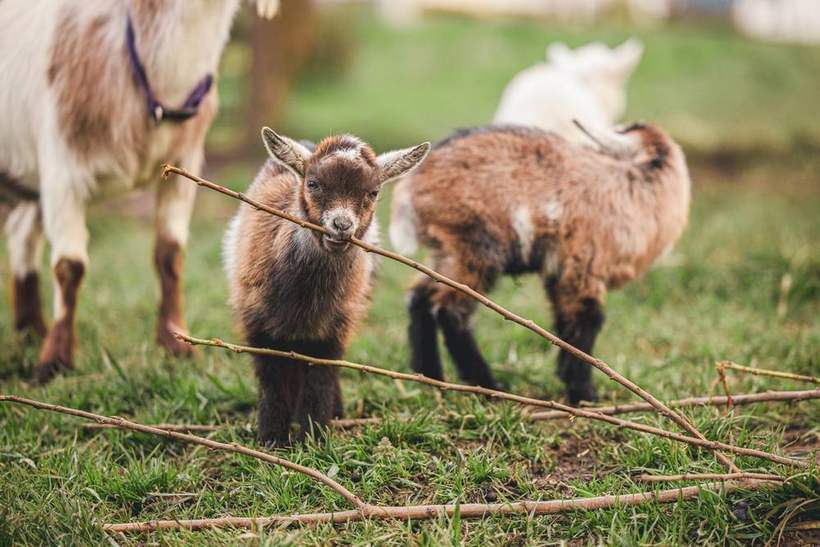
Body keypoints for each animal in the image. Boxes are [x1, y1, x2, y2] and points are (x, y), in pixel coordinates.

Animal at [0, 0, 278, 383]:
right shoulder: (61, 168)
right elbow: (69, 267)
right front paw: (55, 361)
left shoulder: (183, 165)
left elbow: (169, 253)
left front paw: (176, 343)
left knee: (23, 234)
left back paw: (30, 331)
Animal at [224, 128, 429, 444]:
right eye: (313, 183)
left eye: (373, 192)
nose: (341, 225)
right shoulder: (257, 322)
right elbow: (271, 378)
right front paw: (271, 438)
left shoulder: (335, 327)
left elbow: (322, 376)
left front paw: (314, 437)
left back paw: (335, 413)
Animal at [389, 122, 690, 403]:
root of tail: (411, 187)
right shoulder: (583, 265)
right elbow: (586, 320)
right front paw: (585, 395)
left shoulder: (559, 271)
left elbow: (565, 322)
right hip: (476, 246)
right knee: (450, 310)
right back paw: (489, 387)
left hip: (446, 251)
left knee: (419, 298)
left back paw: (431, 378)